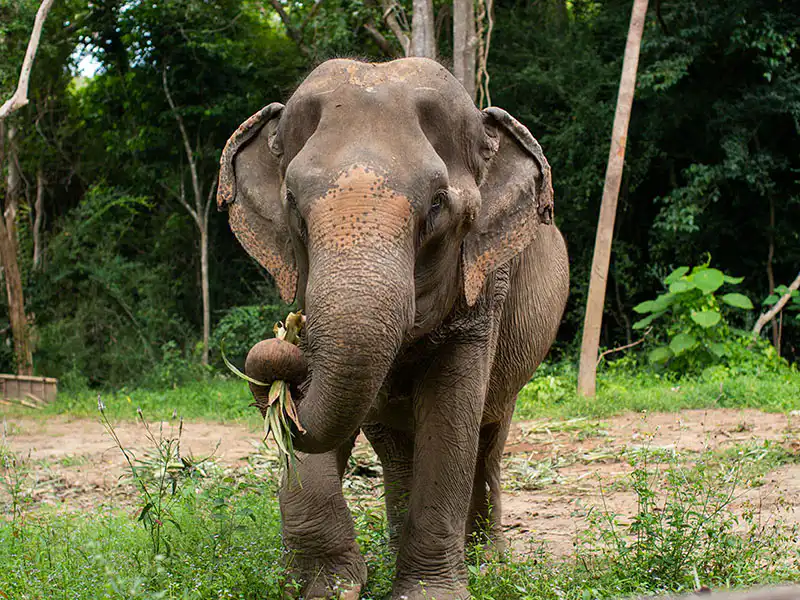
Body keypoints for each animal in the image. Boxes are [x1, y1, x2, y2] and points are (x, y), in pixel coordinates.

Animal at [217, 57, 570, 599]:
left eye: (437, 204)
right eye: (292, 201)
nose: (282, 343)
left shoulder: (485, 290)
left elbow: (451, 417)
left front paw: (428, 592)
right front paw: (327, 585)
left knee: (489, 438)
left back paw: (487, 559)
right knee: (395, 446)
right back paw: (393, 547)